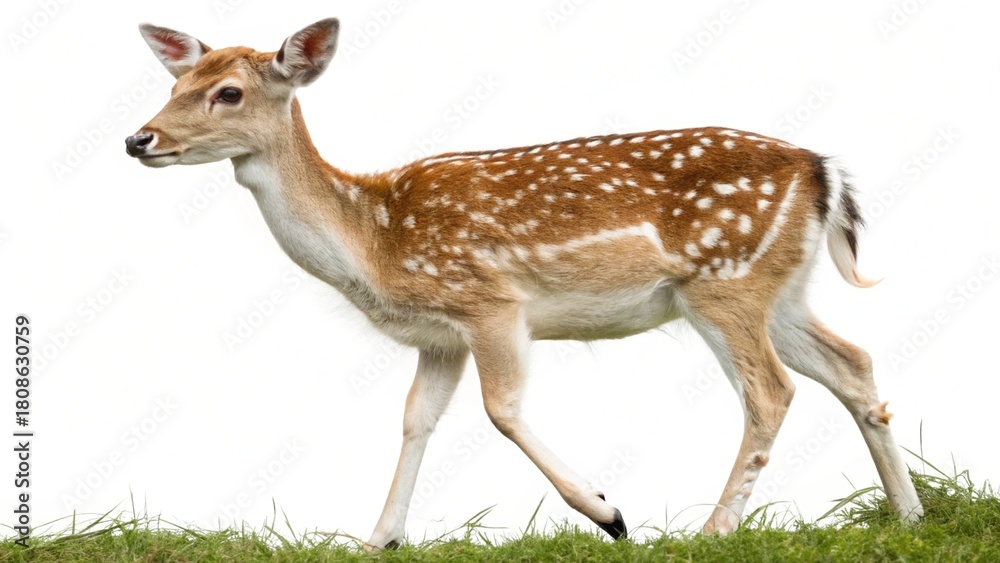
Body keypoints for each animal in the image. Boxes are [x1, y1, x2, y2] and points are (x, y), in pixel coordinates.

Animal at [126, 17, 924, 550]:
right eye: (175, 82)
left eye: (228, 92)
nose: (138, 138)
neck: (375, 241)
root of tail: (823, 172)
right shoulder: (439, 336)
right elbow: (416, 419)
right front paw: (378, 537)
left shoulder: (491, 302)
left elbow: (501, 410)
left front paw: (609, 512)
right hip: (778, 289)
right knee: (853, 364)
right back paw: (911, 515)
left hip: (723, 283)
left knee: (772, 391)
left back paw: (712, 528)